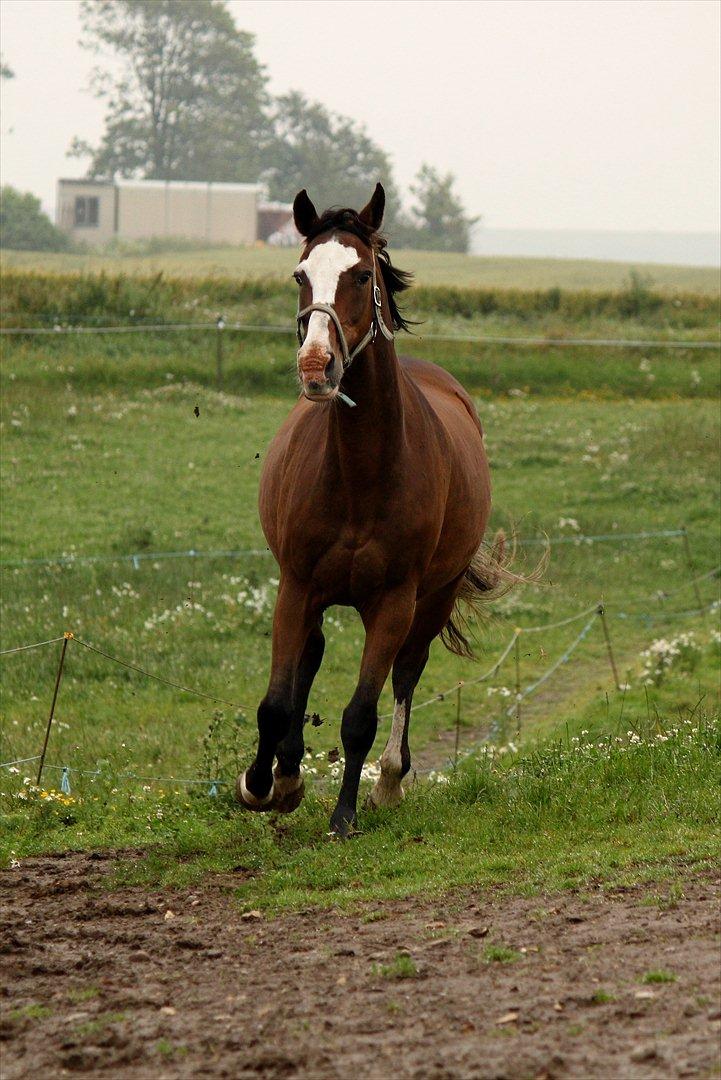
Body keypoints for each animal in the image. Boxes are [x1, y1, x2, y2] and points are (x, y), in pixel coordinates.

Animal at [237, 183, 507, 833]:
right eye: (300, 273)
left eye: (361, 275)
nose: (316, 366)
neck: (362, 473)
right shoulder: (296, 585)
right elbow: (276, 700)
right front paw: (262, 785)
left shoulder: (393, 602)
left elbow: (361, 714)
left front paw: (345, 815)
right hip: (317, 593)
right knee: (310, 658)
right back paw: (288, 774)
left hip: (432, 599)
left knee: (408, 673)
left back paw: (388, 781)